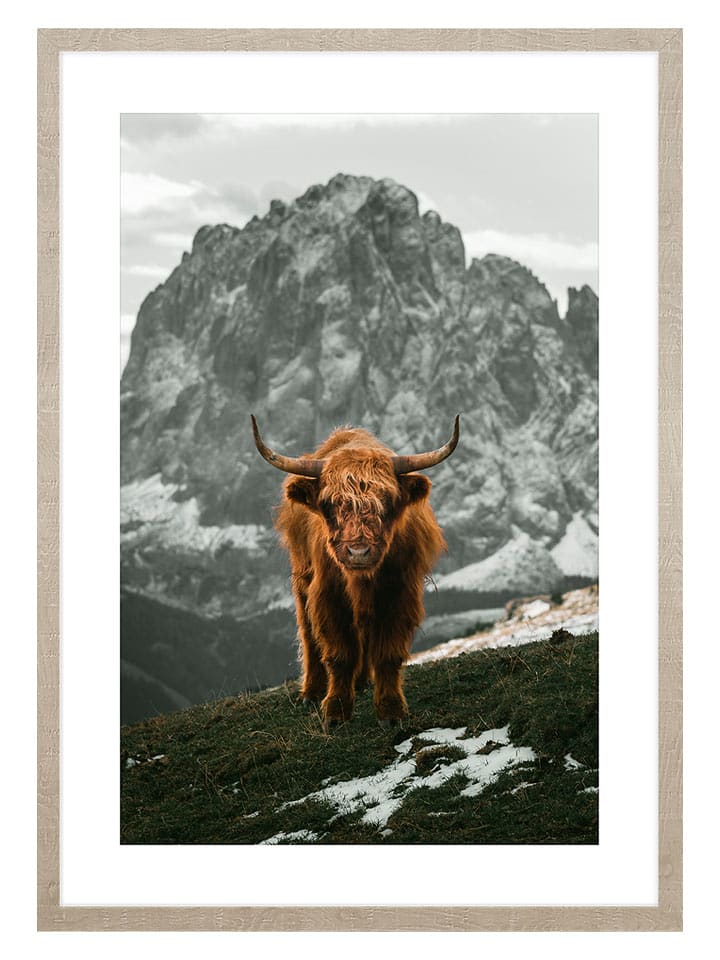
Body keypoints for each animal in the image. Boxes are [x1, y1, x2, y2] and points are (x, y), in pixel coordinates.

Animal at [251, 414, 460, 731]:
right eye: (328, 503)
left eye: (386, 500)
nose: (358, 552)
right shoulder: (328, 594)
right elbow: (339, 653)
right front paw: (335, 712)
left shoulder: (400, 593)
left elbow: (387, 653)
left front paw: (391, 712)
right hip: (302, 579)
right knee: (308, 632)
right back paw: (312, 691)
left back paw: (361, 683)